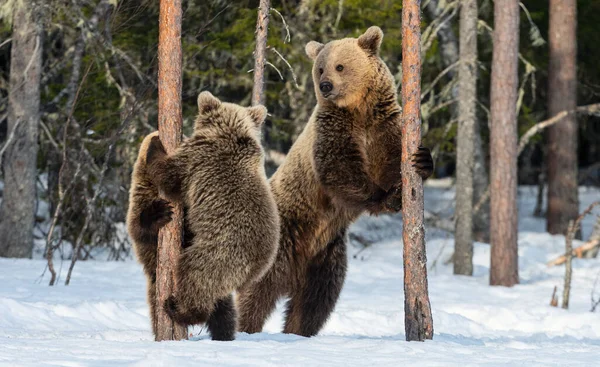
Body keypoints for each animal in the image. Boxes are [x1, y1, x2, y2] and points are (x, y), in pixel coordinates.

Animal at [237, 25, 434, 338]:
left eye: (339, 66)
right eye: (320, 68)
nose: (326, 85)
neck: (359, 110)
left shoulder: (384, 128)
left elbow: (395, 161)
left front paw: (421, 162)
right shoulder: (334, 131)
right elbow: (338, 169)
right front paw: (385, 198)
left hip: (326, 256)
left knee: (315, 301)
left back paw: (298, 332)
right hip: (283, 239)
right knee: (256, 292)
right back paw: (244, 329)